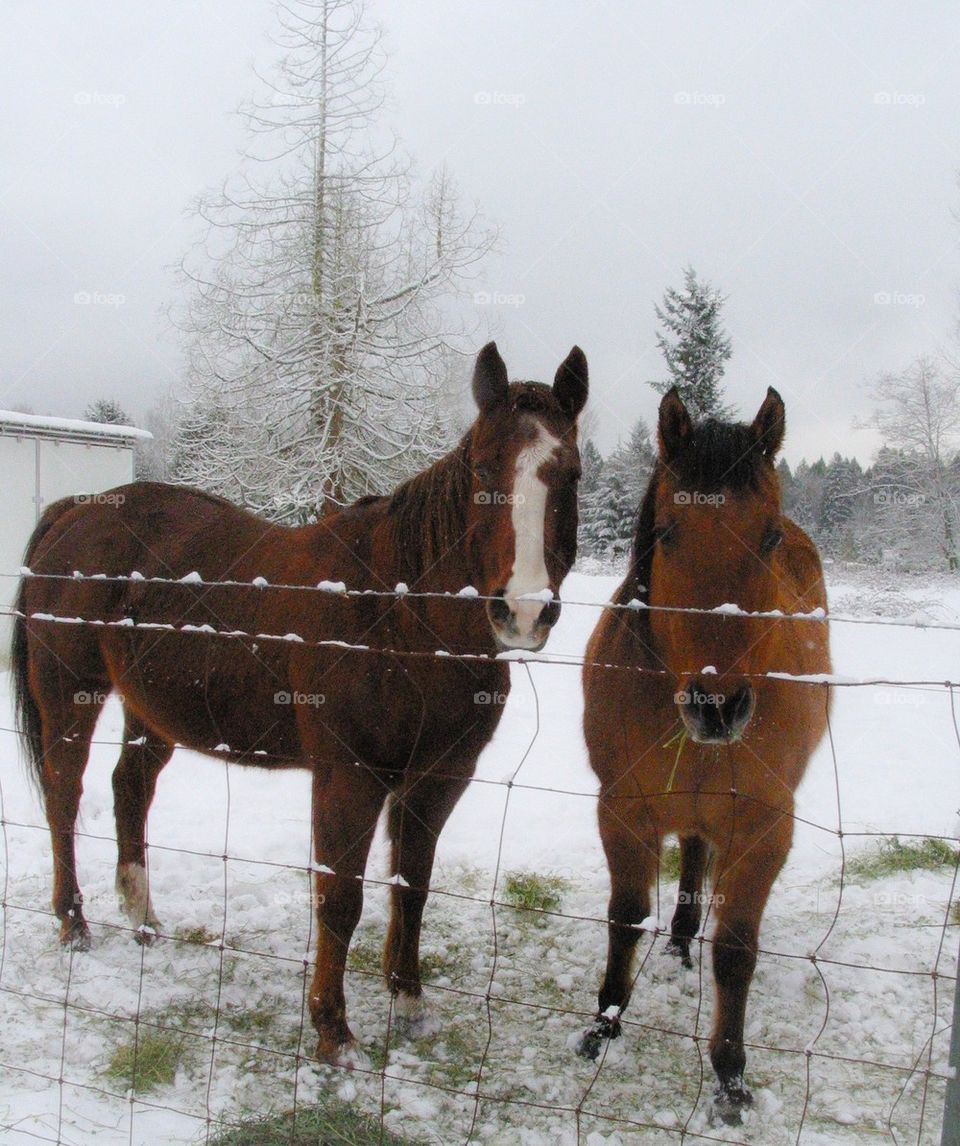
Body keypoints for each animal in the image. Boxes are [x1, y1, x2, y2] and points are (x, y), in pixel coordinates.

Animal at [12, 341, 588, 1065]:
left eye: (570, 473)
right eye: (484, 467)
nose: (524, 611)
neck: (399, 614)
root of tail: (77, 512)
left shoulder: (437, 780)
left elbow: (414, 885)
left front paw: (407, 1000)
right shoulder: (348, 778)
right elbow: (340, 899)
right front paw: (332, 1030)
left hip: (153, 710)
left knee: (129, 789)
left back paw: (141, 916)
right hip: (71, 695)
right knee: (64, 796)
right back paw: (74, 922)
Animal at [576, 386, 830, 1123]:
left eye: (768, 535)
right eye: (666, 533)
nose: (717, 706)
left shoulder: (765, 828)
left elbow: (737, 950)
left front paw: (731, 1077)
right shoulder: (622, 811)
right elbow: (626, 917)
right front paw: (603, 1023)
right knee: (689, 853)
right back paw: (679, 941)